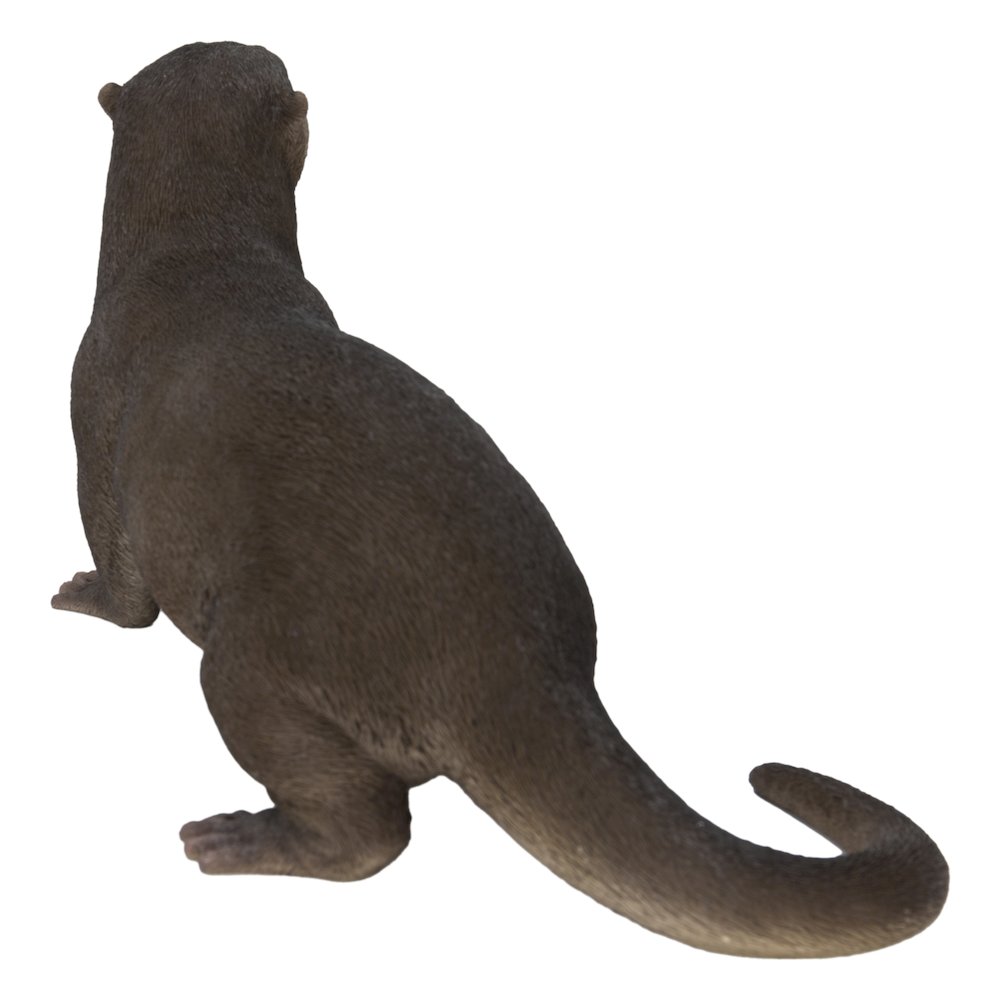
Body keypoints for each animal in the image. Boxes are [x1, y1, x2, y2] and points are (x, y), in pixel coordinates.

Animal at [52, 41, 947, 957]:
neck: (201, 263)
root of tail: (515, 668)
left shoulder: (90, 396)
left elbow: (116, 560)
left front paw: (84, 595)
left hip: (266, 663)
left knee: (366, 828)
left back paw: (242, 839)